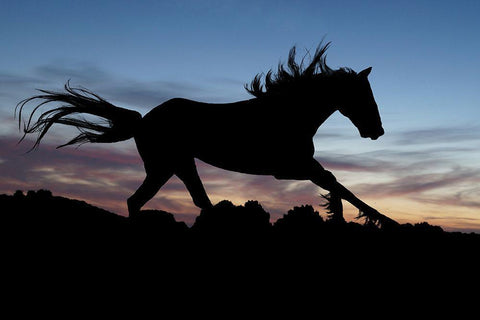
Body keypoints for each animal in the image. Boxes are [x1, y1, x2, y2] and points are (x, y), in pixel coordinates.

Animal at [15, 42, 398, 228]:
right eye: (364, 95)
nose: (377, 131)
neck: (287, 114)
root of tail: (143, 120)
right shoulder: (291, 167)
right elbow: (338, 183)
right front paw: (381, 220)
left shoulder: (297, 168)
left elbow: (336, 185)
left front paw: (343, 215)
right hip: (167, 166)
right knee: (144, 202)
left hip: (177, 166)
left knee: (187, 202)